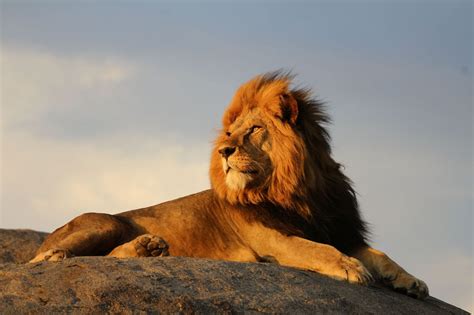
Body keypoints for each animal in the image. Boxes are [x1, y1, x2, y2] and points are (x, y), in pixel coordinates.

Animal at [30, 72, 430, 302]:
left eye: (254, 129)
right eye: (229, 134)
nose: (224, 151)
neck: (299, 191)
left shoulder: (340, 229)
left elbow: (380, 254)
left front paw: (412, 281)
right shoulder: (273, 239)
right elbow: (316, 249)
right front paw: (350, 267)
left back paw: (149, 248)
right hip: (105, 222)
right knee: (49, 258)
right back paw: (58, 255)